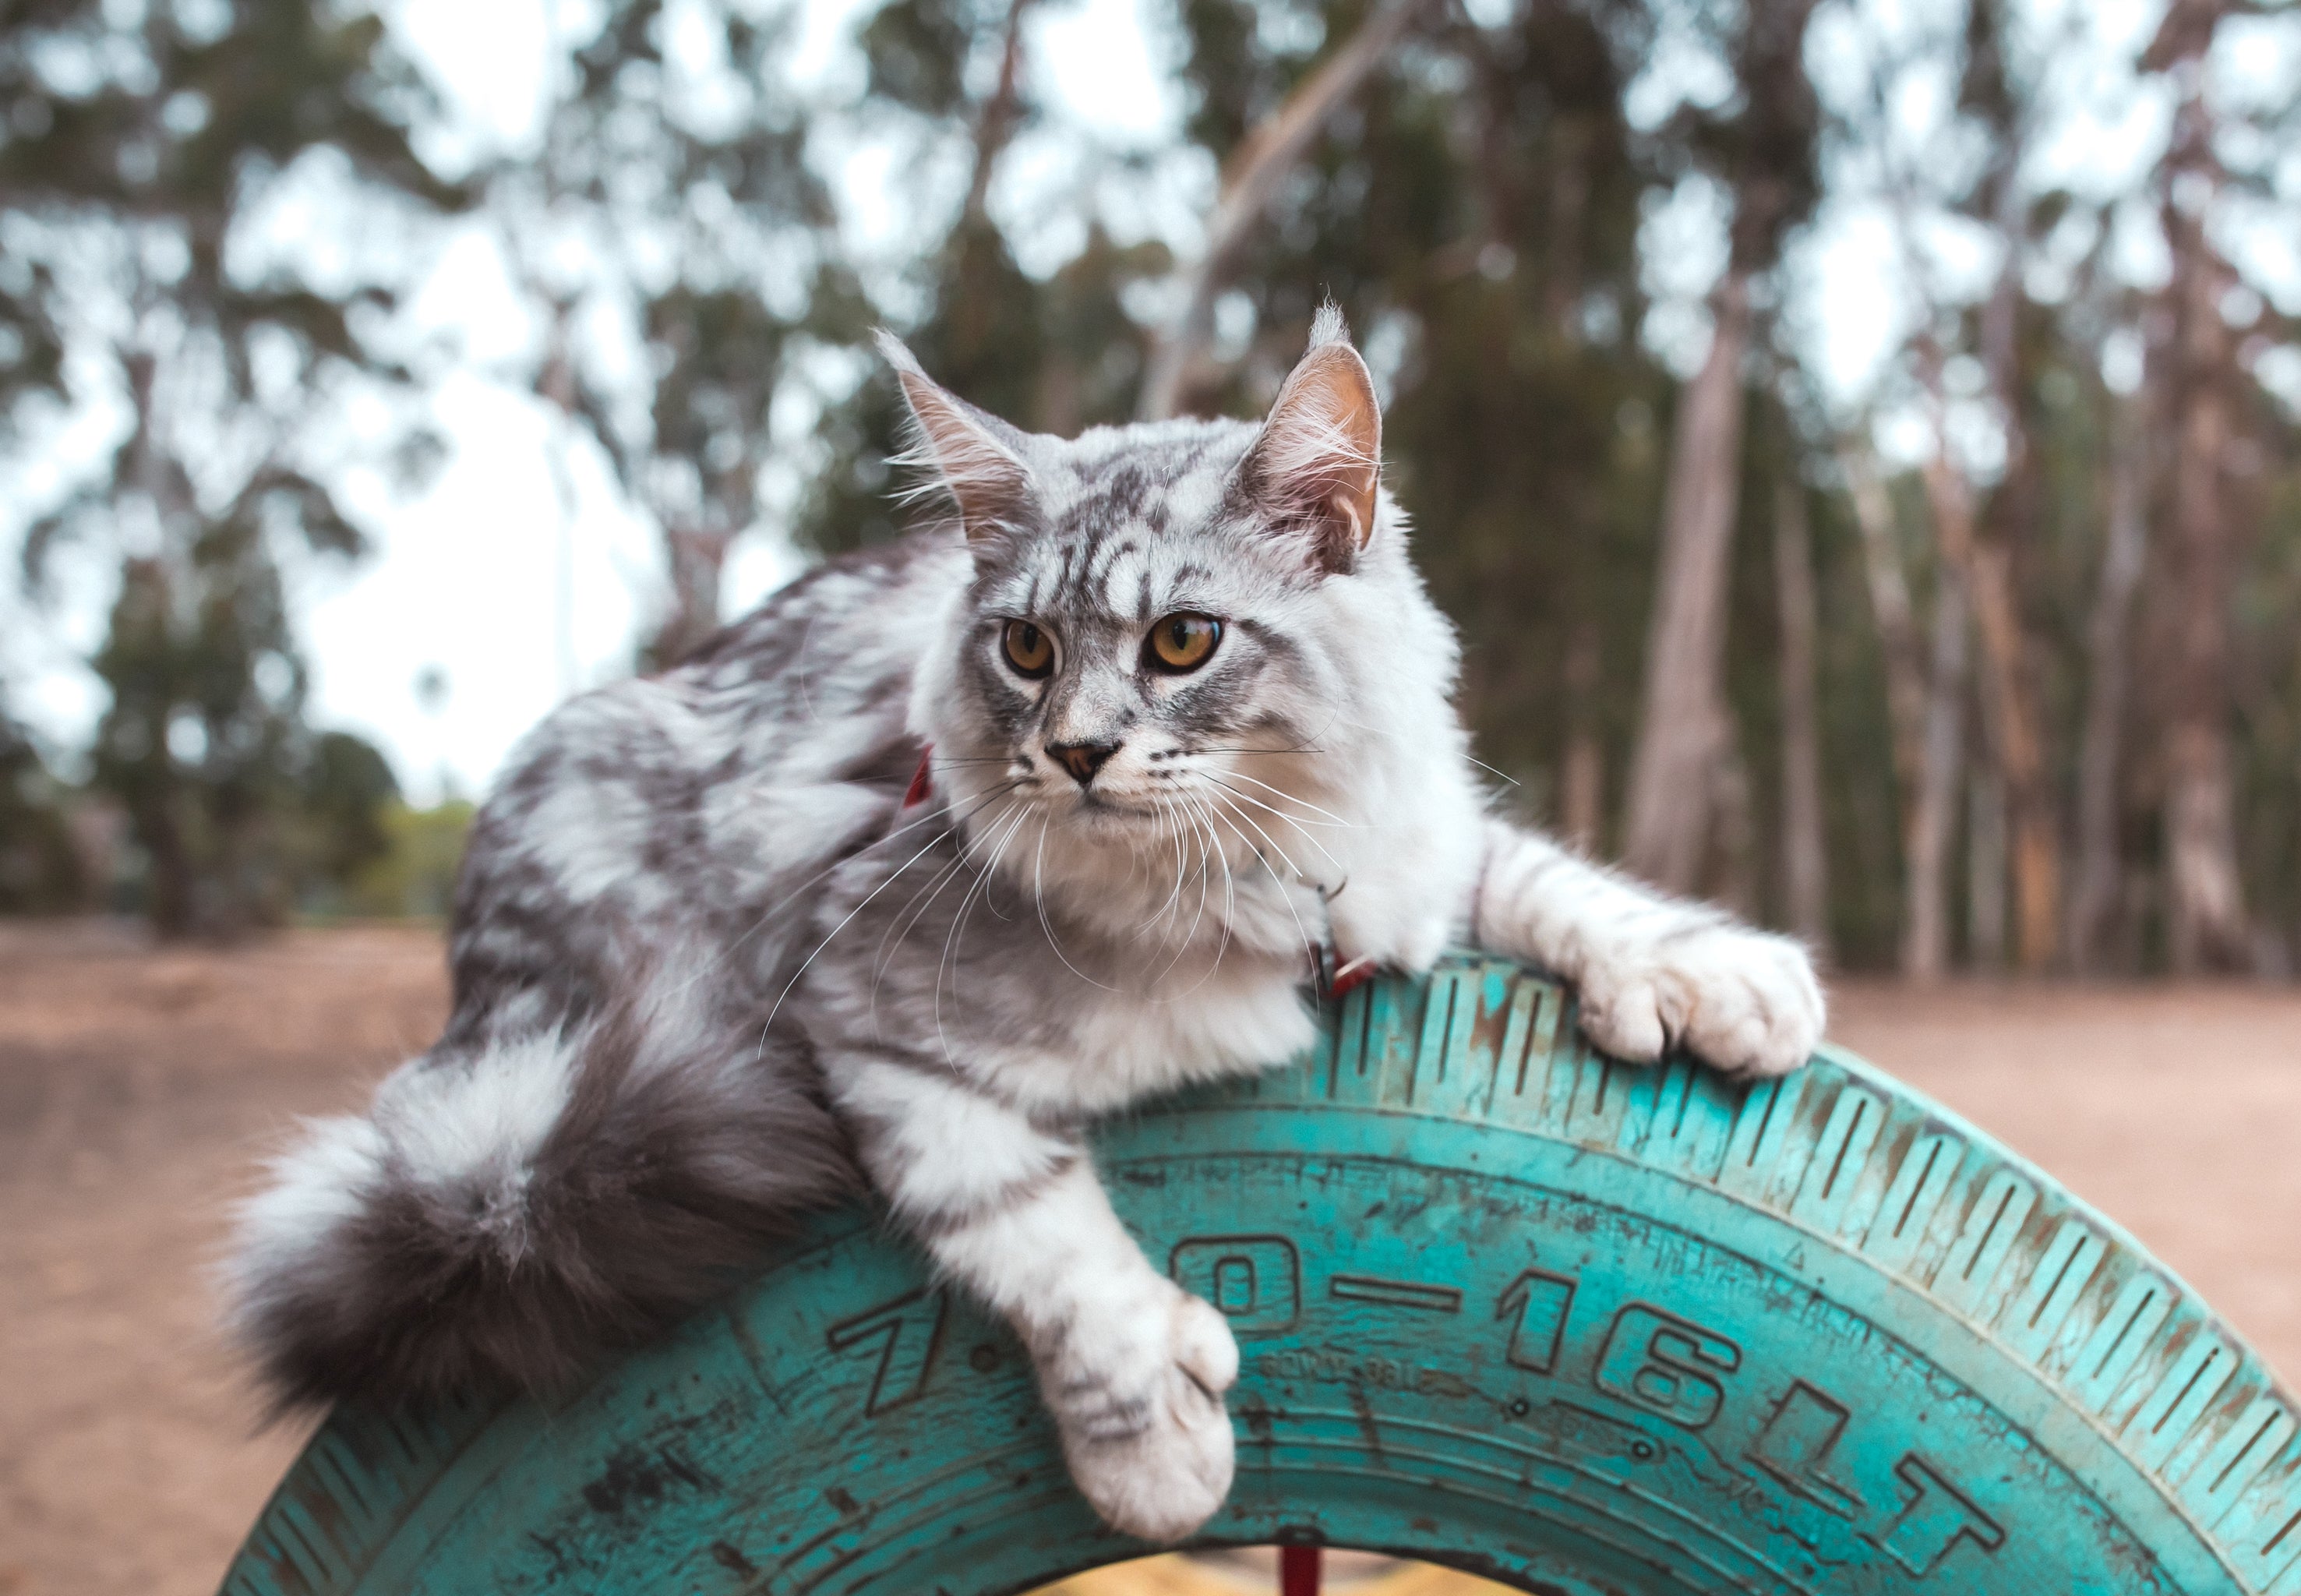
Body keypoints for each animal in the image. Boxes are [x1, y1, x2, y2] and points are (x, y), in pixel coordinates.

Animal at [224, 305, 1822, 1545]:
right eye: (1028, 648)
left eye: (1181, 641)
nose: (1076, 752)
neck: (1249, 884)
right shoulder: (860, 1026)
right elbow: (1039, 1239)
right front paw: (1152, 1447)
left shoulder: (1406, 857)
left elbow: (1545, 877)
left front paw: (1709, 973)